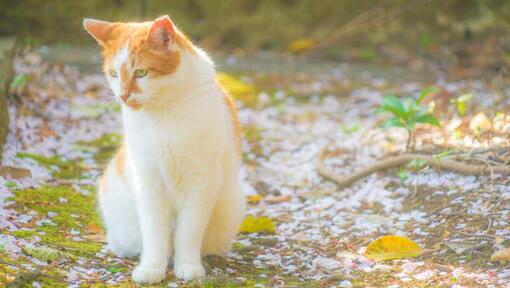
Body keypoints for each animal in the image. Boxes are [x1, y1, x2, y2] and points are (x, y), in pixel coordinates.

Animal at [82, 15, 246, 284]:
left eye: (141, 72)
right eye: (113, 74)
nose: (123, 96)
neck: (164, 110)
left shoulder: (201, 181)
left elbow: (189, 231)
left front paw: (188, 265)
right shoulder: (148, 181)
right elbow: (154, 232)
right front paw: (151, 268)